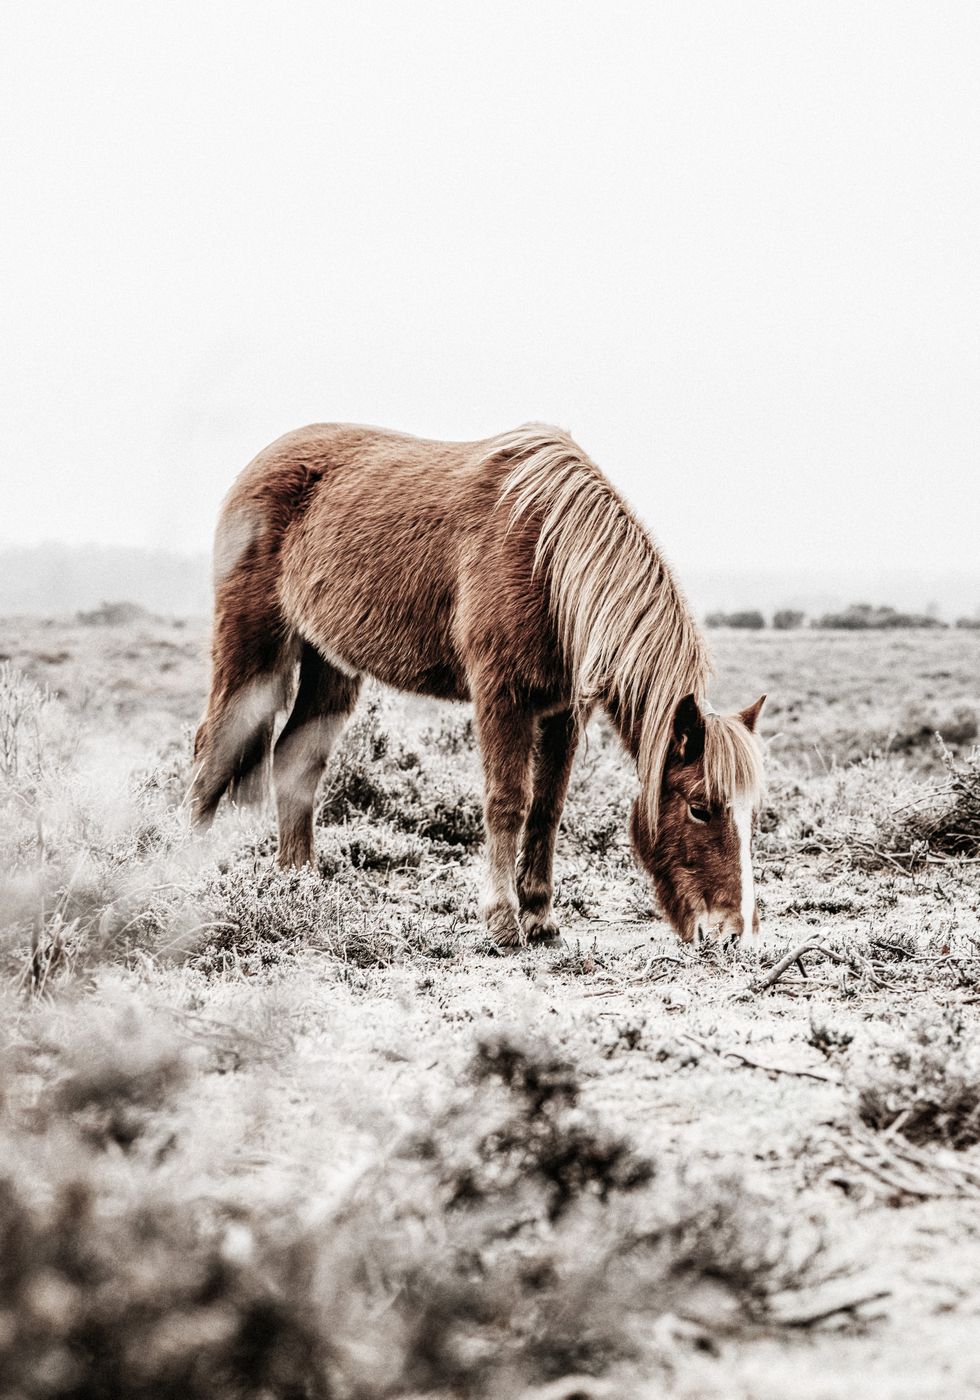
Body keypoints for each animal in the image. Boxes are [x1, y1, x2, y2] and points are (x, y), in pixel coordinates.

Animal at [189, 422, 766, 947]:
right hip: (253, 652)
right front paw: (503, 922)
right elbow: (508, 801)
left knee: (295, 759)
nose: (732, 933)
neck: (545, 559)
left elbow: (548, 809)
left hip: (330, 663)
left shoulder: (564, 711)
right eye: (699, 807)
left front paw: (540, 918)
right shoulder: (500, 695)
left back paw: (300, 884)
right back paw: (187, 876)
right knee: (213, 752)